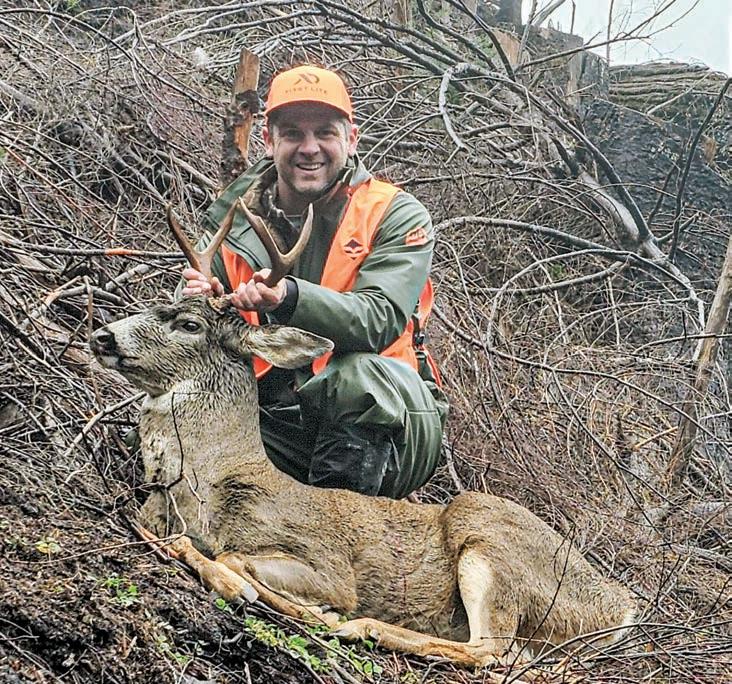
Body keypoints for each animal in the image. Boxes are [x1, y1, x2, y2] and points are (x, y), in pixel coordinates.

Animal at [90, 201, 636, 669]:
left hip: (489, 538)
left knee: (491, 651)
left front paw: (290, 601)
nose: (102, 335)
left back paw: (361, 626)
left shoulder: (327, 563)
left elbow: (233, 556)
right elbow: (173, 536)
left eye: (188, 324)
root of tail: (620, 609)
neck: (206, 484)